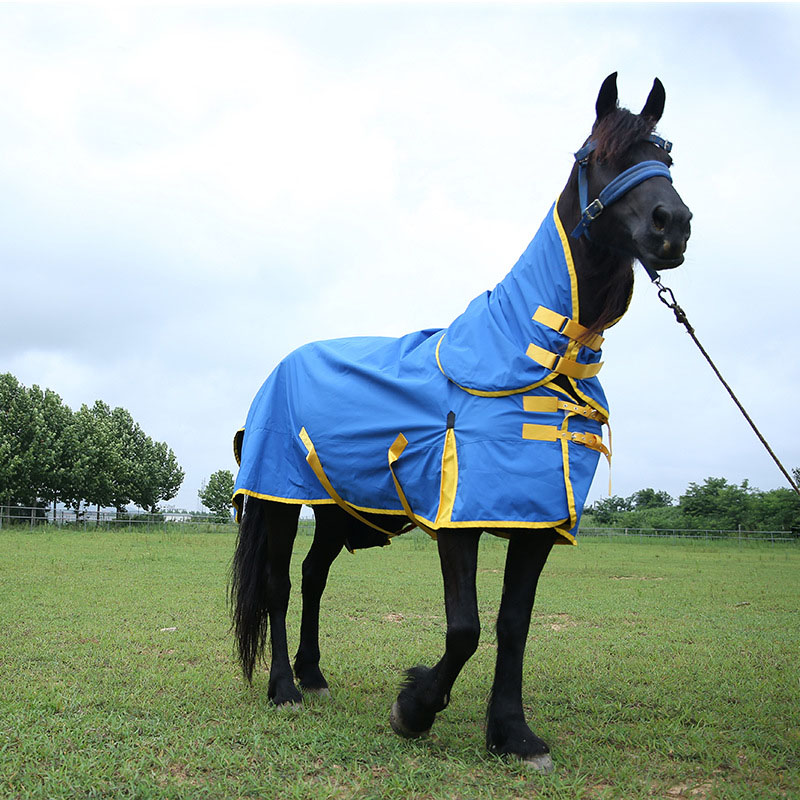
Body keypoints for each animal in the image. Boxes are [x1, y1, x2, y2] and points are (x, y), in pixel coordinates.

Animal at [229, 73, 692, 773]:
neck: (533, 358)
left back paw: (313, 674)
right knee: (280, 585)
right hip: (278, 499)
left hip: (338, 508)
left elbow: (513, 624)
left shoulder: (536, 523)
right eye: (597, 156)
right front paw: (414, 708)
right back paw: (285, 687)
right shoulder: (459, 518)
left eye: (666, 156)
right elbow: (465, 628)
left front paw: (513, 733)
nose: (674, 225)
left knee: (312, 578)